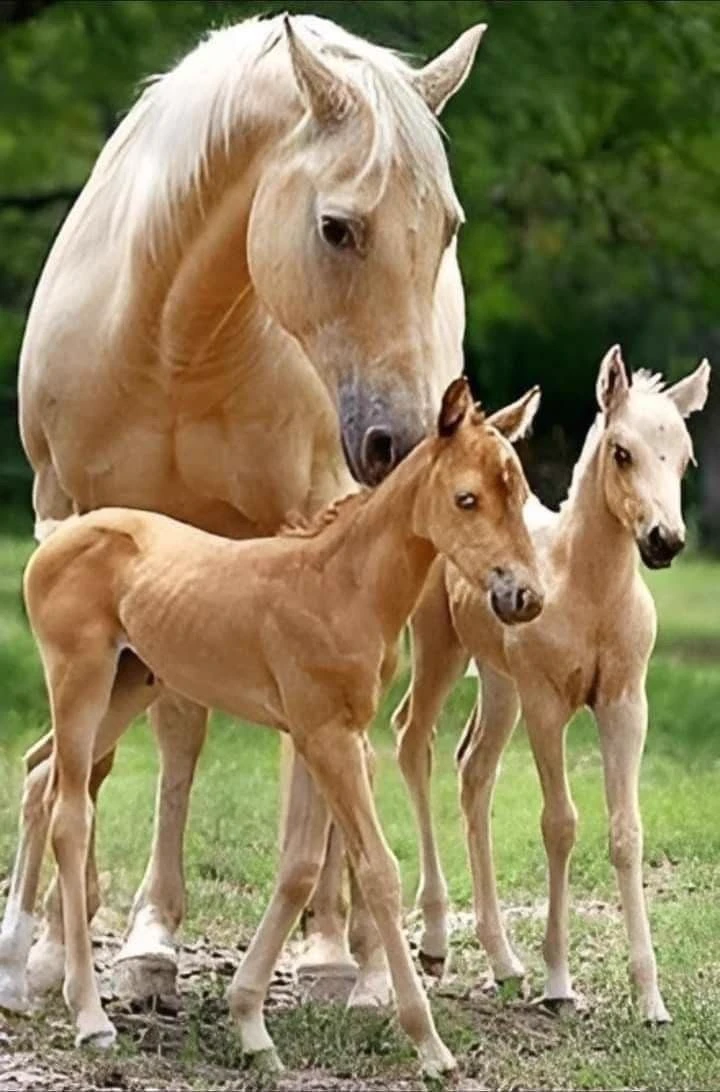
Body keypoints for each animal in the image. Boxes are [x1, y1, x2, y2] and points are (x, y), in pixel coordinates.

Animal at [1, 379, 544, 1076]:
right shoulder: (326, 735)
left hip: (128, 686)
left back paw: (15, 983)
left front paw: (251, 1025)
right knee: (71, 812)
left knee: (39, 775)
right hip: (80, 681)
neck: (340, 587)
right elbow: (377, 871)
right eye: (466, 498)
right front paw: (429, 1045)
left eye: (520, 495)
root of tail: (58, 538)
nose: (523, 598)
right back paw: (91, 1019)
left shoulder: (327, 735)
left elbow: (301, 868)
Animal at [12, 12, 486, 1006]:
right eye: (337, 227)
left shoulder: (299, 527)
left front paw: (335, 953)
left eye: (448, 229)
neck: (173, 338)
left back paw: (349, 953)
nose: (403, 440)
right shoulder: (83, 524)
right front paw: (98, 951)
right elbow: (114, 745)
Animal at [392, 347, 709, 1020]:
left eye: (685, 457)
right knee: (412, 739)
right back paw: (435, 941)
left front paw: (651, 1000)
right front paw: (559, 983)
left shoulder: (625, 702)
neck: (589, 591)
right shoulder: (546, 704)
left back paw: (502, 960)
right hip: (441, 650)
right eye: (622, 451)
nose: (665, 541)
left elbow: (626, 832)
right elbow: (559, 824)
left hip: (498, 679)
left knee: (473, 770)